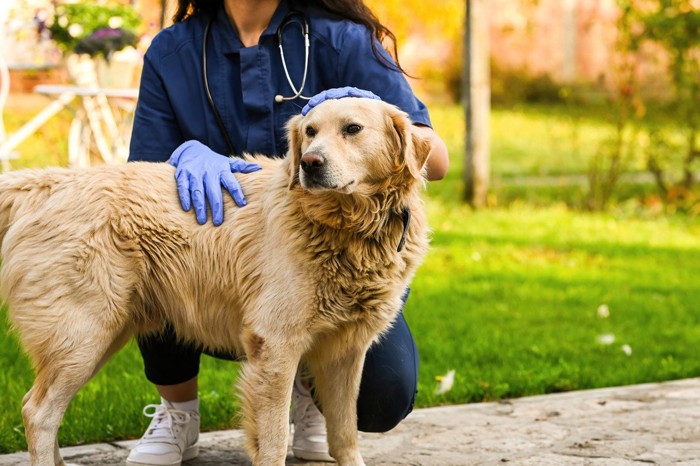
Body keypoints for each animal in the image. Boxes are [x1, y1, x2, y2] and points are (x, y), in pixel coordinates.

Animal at [1, 96, 432, 464]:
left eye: (352, 128)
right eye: (310, 131)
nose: (309, 163)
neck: (348, 228)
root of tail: (52, 183)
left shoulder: (345, 353)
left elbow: (343, 434)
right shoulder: (275, 347)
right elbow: (275, 438)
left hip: (104, 333)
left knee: (43, 409)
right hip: (84, 336)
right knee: (37, 411)